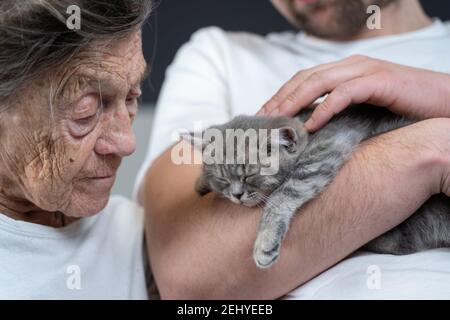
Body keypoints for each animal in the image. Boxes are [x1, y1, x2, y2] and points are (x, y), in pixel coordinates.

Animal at [184, 105, 450, 268]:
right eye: (224, 179)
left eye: (251, 175)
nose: (237, 195)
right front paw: (201, 183)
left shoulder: (325, 149)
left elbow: (283, 194)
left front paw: (265, 241)